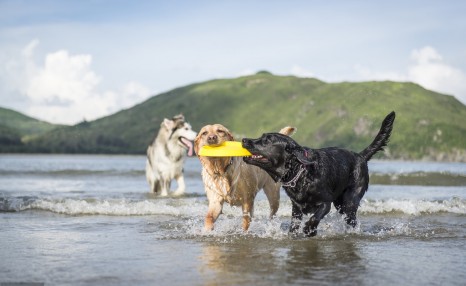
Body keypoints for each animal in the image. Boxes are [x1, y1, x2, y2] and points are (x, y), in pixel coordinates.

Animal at [242, 111, 396, 237]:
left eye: (266, 140)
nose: (244, 140)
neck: (301, 172)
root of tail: (360, 156)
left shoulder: (325, 203)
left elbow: (315, 217)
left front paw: (310, 230)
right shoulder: (296, 208)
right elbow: (294, 226)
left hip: (349, 202)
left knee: (351, 219)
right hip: (340, 203)